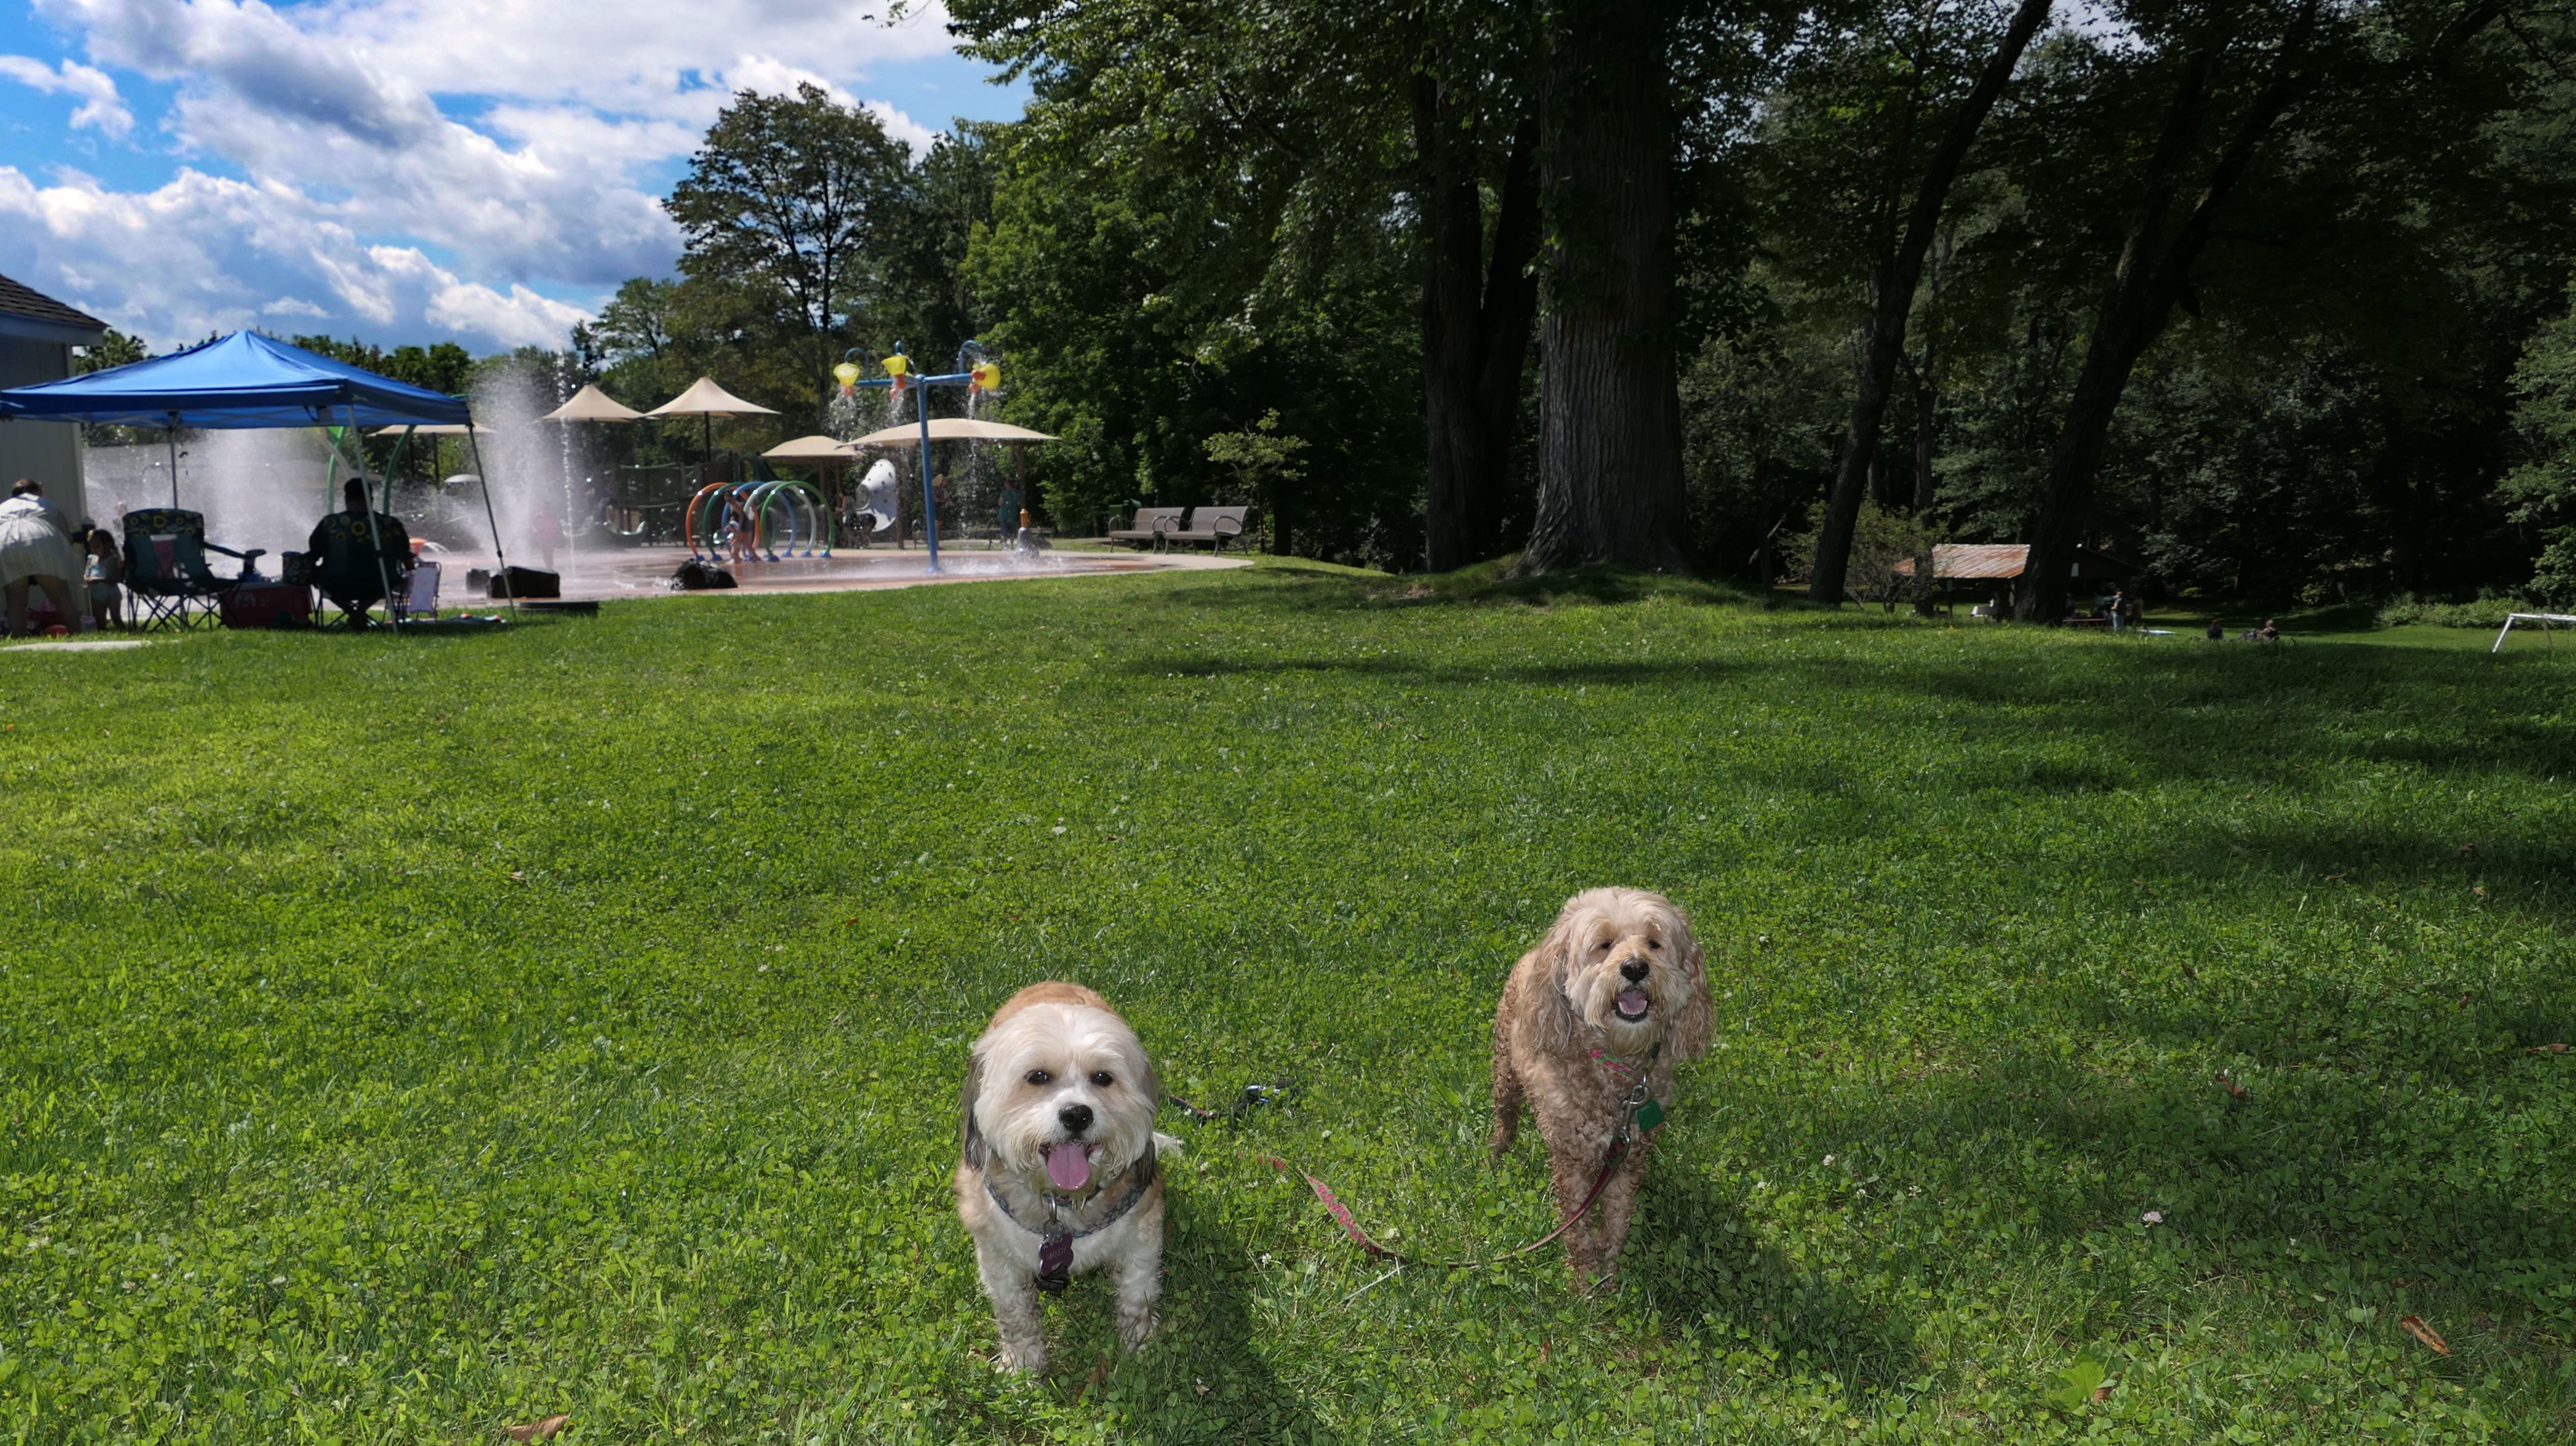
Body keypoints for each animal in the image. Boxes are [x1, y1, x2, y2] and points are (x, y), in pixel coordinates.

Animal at [955, 982, 1174, 1373]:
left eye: (1103, 1078)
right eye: (1038, 1077)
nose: (1077, 1114)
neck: (1064, 1202)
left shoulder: (1143, 1237)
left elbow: (1137, 1297)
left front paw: (1139, 1348)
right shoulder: (997, 1256)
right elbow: (1015, 1314)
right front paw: (1022, 1363)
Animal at [1489, 887, 1711, 1287]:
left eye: (1654, 943)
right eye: (1604, 945)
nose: (1635, 968)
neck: (1614, 1066)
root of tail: (1535, 952)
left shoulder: (1628, 1159)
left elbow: (1618, 1219)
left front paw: (1609, 1273)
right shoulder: (1571, 1163)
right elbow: (1577, 1231)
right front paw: (1584, 1283)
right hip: (1504, 1069)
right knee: (1505, 1112)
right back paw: (1498, 1151)